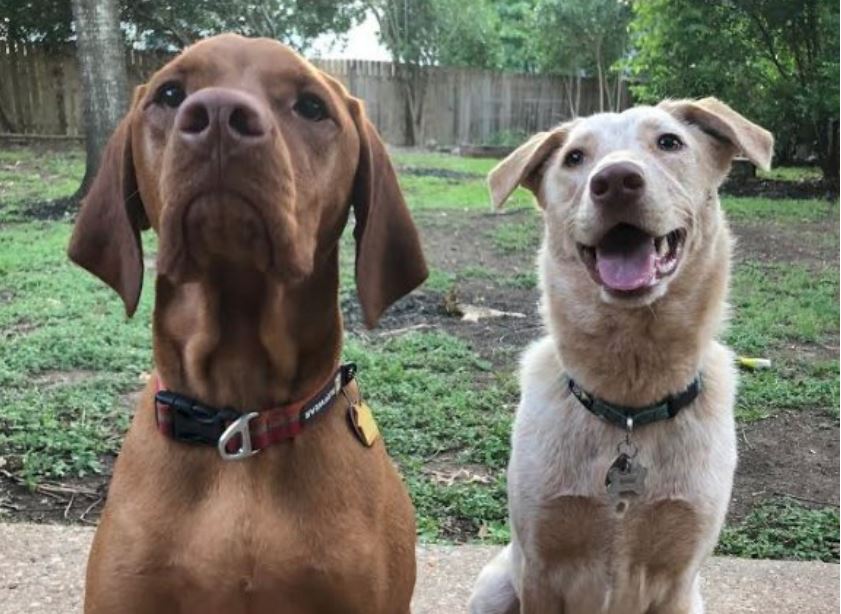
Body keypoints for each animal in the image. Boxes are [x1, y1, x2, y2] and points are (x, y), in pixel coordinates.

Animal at [470, 98, 772, 612]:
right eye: (574, 157)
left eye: (669, 142)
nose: (614, 181)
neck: (630, 403)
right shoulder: (538, 566)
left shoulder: (678, 578)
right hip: (495, 586)